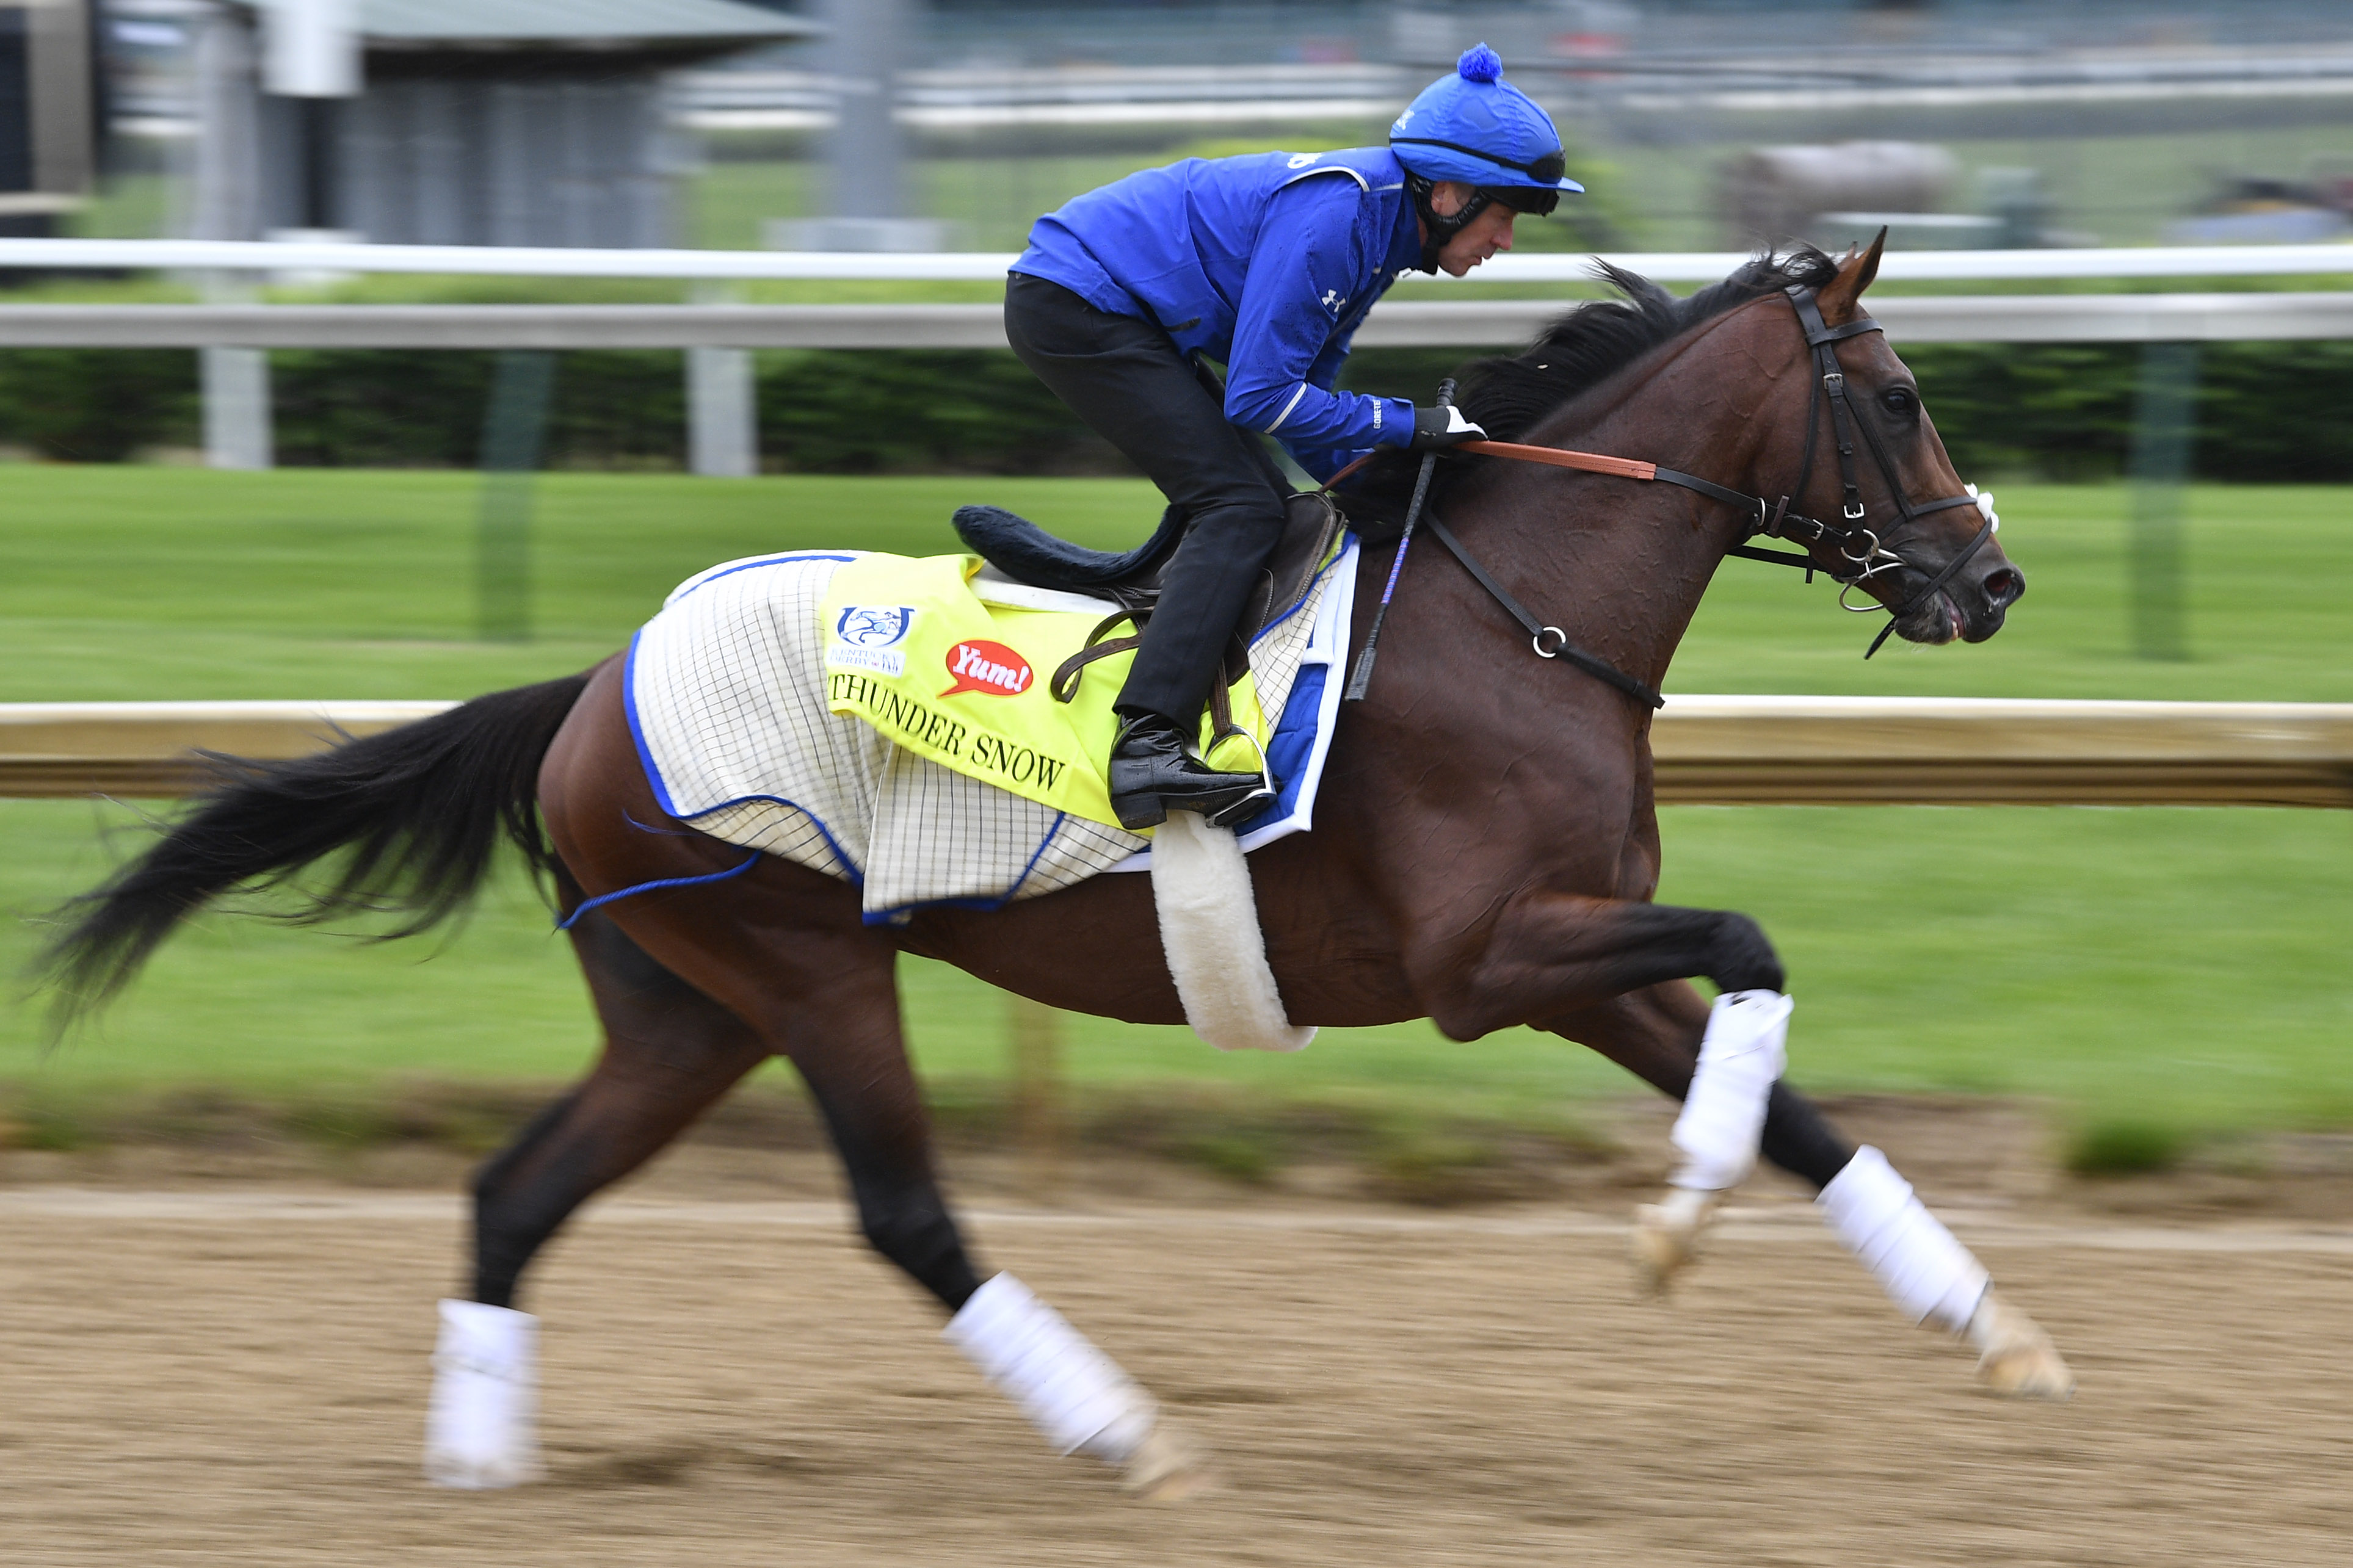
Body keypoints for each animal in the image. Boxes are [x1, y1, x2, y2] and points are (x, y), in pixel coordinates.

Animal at [37, 239, 2061, 1505]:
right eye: (1893, 392)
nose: (1989, 581)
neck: (1517, 620)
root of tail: (591, 688)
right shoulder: (1489, 960)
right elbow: (1753, 942)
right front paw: (1676, 1217)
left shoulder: (1573, 958)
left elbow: (1787, 1091)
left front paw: (1990, 1328)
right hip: (804, 964)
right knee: (902, 1217)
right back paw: (1132, 1436)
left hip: (680, 1005)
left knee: (514, 1192)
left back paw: (478, 1458)